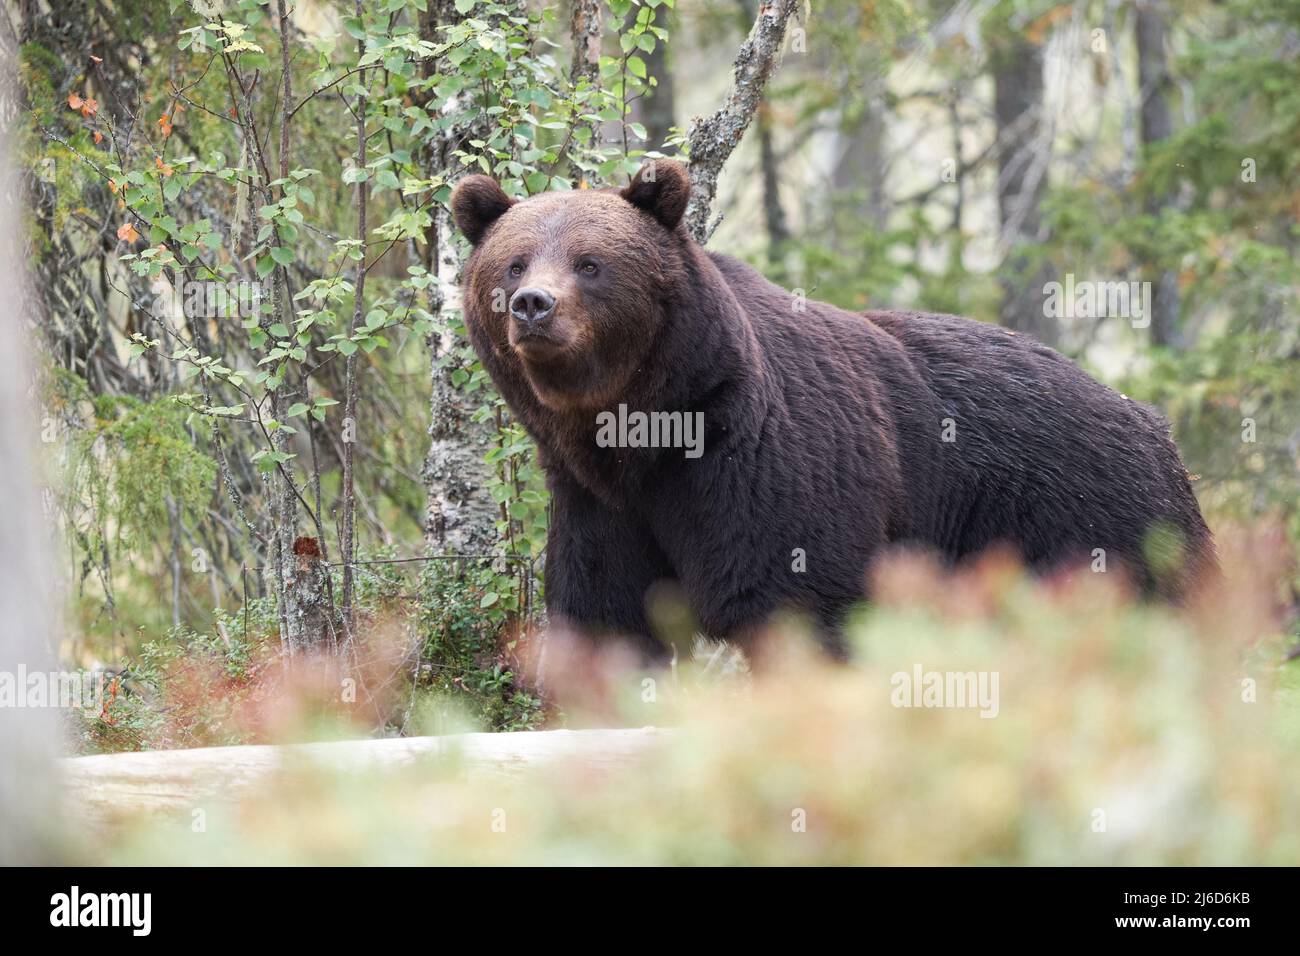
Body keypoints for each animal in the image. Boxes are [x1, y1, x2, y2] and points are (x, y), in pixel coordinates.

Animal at [450, 159, 1215, 660]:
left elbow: (797, 599)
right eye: (514, 262)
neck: (645, 431)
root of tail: (1149, 419)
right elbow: (604, 613)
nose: (533, 305)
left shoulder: (766, 465)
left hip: (1090, 516)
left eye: (590, 263)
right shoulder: (596, 501)